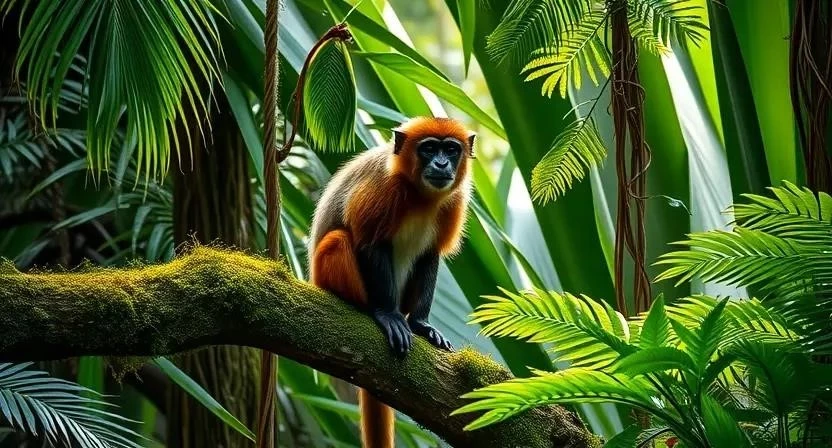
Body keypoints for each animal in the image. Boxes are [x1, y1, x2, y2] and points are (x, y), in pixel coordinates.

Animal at [307, 116, 475, 448]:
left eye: (451, 150)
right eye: (429, 149)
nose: (441, 163)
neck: (421, 197)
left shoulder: (455, 201)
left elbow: (430, 255)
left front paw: (422, 325)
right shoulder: (383, 188)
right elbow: (372, 243)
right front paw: (387, 315)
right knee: (338, 239)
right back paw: (364, 306)